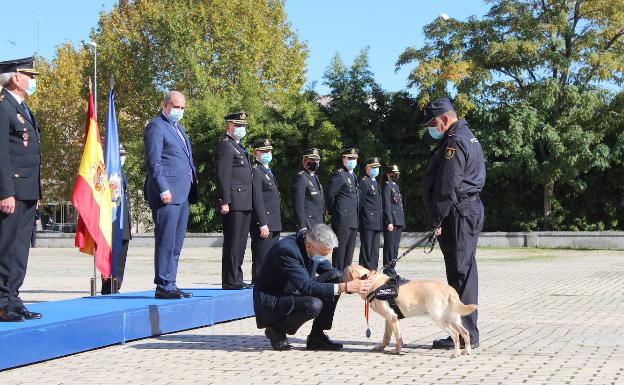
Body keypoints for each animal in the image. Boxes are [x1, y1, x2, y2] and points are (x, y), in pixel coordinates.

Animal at [346, 264, 478, 356]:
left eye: (344, 274)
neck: (371, 282)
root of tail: (450, 289)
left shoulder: (392, 318)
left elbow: (398, 338)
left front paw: (397, 350)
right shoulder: (389, 318)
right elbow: (386, 336)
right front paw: (381, 347)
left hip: (440, 319)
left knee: (455, 334)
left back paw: (456, 353)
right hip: (453, 319)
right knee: (465, 333)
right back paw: (466, 351)